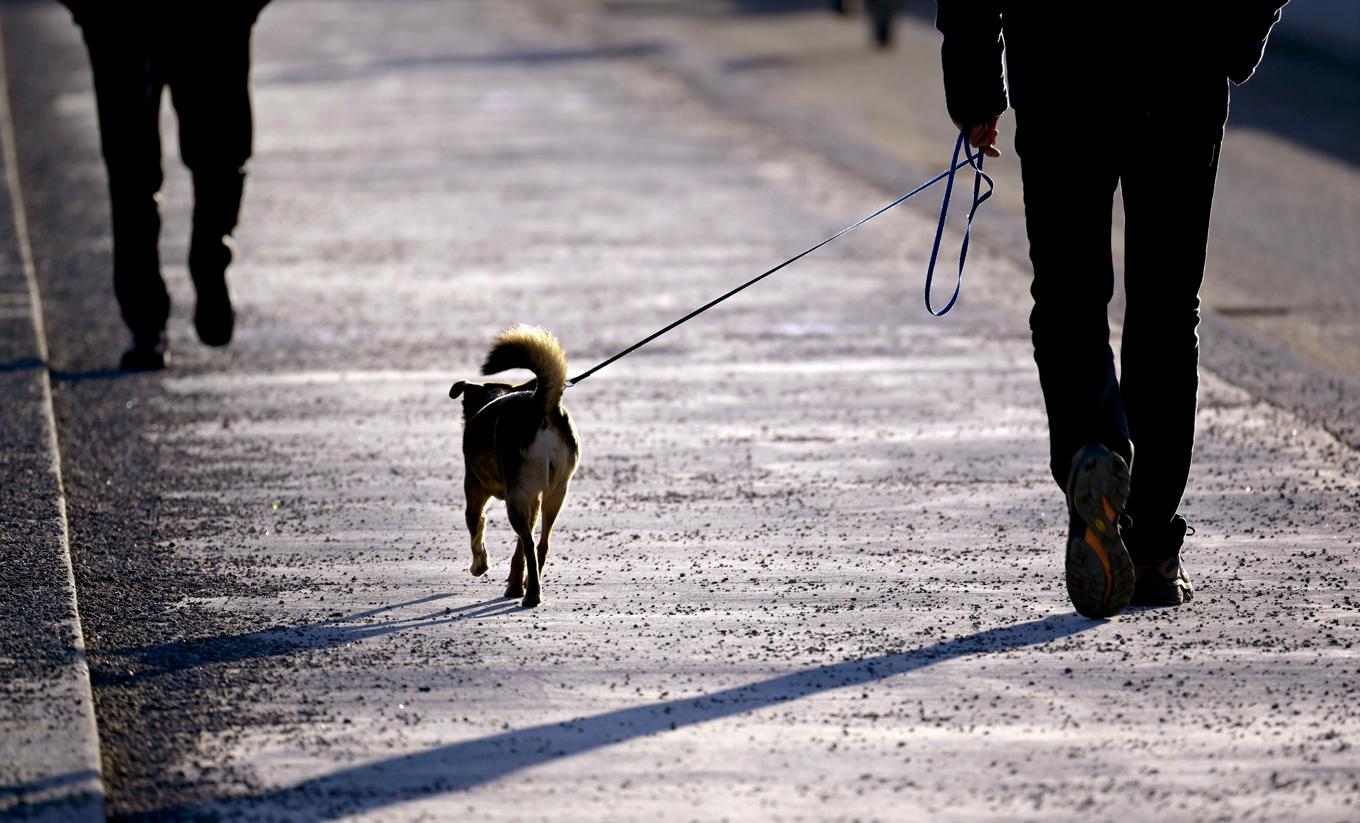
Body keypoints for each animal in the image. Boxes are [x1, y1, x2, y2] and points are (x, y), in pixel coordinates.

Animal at [446, 323, 573, 606]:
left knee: (529, 544)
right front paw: (514, 585)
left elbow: (477, 531)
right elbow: (518, 553)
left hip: (516, 498)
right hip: (555, 493)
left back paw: (532, 594)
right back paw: (528, 586)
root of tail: (538, 407)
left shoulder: (474, 494)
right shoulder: (533, 498)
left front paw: (480, 566)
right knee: (540, 543)